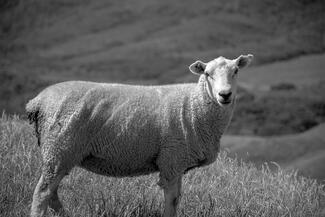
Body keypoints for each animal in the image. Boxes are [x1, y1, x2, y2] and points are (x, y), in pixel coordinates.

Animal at [26, 53, 253, 216]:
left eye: (236, 71)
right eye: (207, 74)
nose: (225, 95)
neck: (193, 105)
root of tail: (37, 101)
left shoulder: (176, 162)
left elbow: (177, 199)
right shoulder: (172, 159)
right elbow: (172, 201)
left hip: (59, 152)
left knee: (52, 193)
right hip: (60, 147)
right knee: (42, 193)